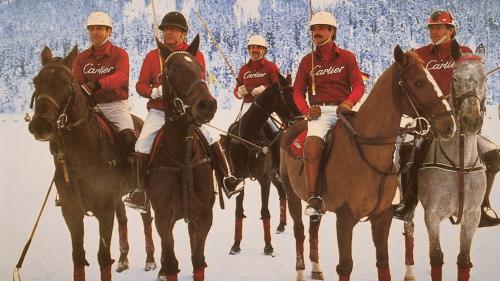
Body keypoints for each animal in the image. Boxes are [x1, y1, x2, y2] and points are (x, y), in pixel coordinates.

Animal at [27, 44, 156, 278]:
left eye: (66, 83)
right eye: (36, 80)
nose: (41, 126)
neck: (83, 154)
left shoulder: (104, 210)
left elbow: (103, 257)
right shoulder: (71, 211)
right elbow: (78, 256)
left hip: (142, 190)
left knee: (146, 219)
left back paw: (151, 260)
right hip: (117, 196)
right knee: (123, 218)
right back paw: (123, 260)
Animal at [148, 35, 219, 280]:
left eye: (200, 67)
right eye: (174, 68)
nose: (207, 105)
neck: (183, 156)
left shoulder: (204, 215)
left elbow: (198, 260)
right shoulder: (163, 219)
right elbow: (171, 262)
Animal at [226, 79, 292, 256]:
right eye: (287, 96)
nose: (301, 117)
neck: (248, 136)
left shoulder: (264, 178)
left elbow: (265, 212)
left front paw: (268, 247)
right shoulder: (240, 177)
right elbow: (238, 212)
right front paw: (235, 245)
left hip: (276, 173)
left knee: (287, 193)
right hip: (273, 175)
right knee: (282, 193)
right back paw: (281, 225)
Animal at [278, 44, 458, 278]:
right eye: (419, 82)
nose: (450, 125)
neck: (369, 155)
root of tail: (293, 126)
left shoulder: (382, 216)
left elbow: (383, 262)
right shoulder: (345, 218)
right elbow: (345, 266)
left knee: (312, 227)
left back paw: (316, 269)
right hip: (291, 192)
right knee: (299, 231)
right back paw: (300, 272)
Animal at [402, 41, 488, 280]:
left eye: (485, 78)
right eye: (455, 78)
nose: (470, 120)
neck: (459, 164)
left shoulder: (471, 215)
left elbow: (464, 260)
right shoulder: (432, 215)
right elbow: (436, 258)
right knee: (408, 232)